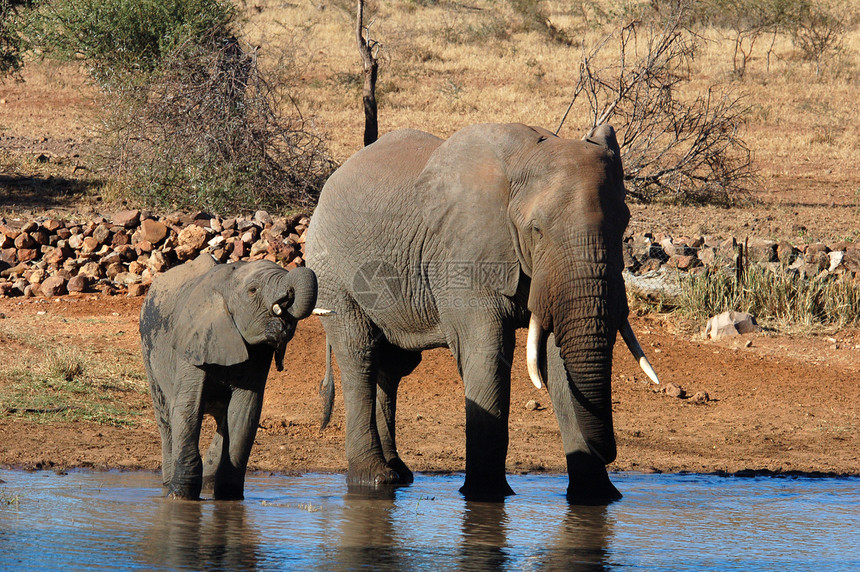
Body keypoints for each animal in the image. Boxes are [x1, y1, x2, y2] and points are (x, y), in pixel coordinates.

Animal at [141, 255, 320, 500]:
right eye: (253, 290)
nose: (285, 302)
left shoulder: (257, 355)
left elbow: (244, 413)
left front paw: (229, 498)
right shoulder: (192, 344)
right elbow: (188, 408)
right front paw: (180, 497)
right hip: (149, 354)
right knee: (166, 419)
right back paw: (168, 484)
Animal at [308, 123, 660, 502]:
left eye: (623, 224)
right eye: (537, 230)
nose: (609, 452)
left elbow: (558, 360)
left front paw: (597, 499)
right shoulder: (462, 256)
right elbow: (486, 353)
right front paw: (486, 497)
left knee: (391, 368)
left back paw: (399, 474)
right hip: (330, 269)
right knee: (359, 357)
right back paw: (374, 479)